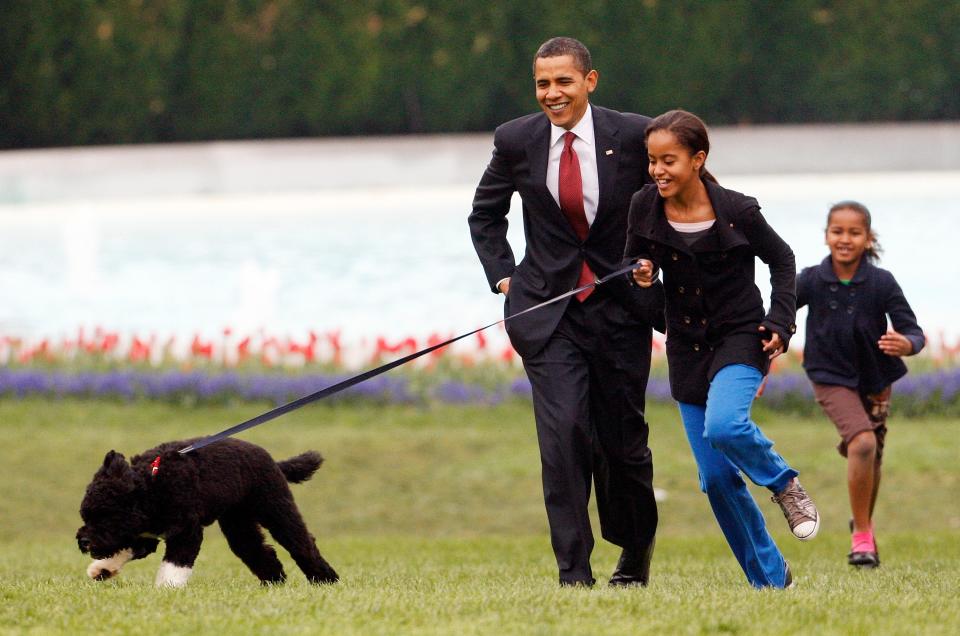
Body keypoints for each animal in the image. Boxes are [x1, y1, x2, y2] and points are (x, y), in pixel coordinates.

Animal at [79, 438, 342, 588]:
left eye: (106, 516)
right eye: (86, 516)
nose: (83, 541)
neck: (151, 488)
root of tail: (274, 462)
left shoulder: (187, 531)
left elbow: (175, 563)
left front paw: (167, 588)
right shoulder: (144, 535)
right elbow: (126, 549)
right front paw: (102, 569)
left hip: (275, 508)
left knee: (301, 542)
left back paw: (325, 580)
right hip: (238, 520)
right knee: (255, 549)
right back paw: (274, 581)